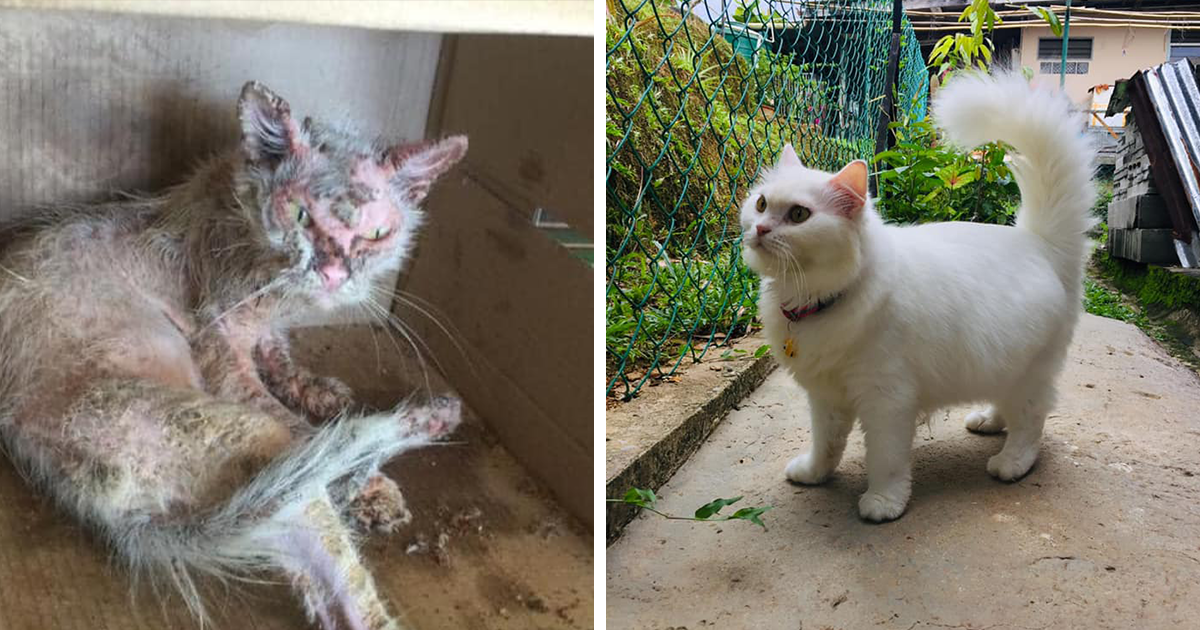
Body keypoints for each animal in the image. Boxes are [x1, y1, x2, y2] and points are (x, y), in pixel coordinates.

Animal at [0, 81, 468, 624]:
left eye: (376, 233)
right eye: (300, 214)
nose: (333, 274)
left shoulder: (262, 328)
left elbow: (280, 355)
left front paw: (321, 390)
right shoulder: (220, 338)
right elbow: (283, 405)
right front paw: (370, 476)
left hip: (257, 492)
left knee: (317, 571)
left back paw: (429, 421)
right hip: (247, 440)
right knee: (319, 480)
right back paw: (402, 446)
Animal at [734, 72, 1094, 520]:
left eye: (799, 215)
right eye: (761, 203)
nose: (760, 229)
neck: (815, 299)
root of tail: (1040, 242)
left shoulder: (887, 400)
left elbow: (885, 460)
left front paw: (884, 503)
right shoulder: (826, 397)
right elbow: (826, 445)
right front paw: (814, 474)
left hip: (1030, 372)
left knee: (1032, 421)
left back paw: (1011, 462)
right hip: (1002, 364)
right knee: (1009, 408)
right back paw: (988, 421)